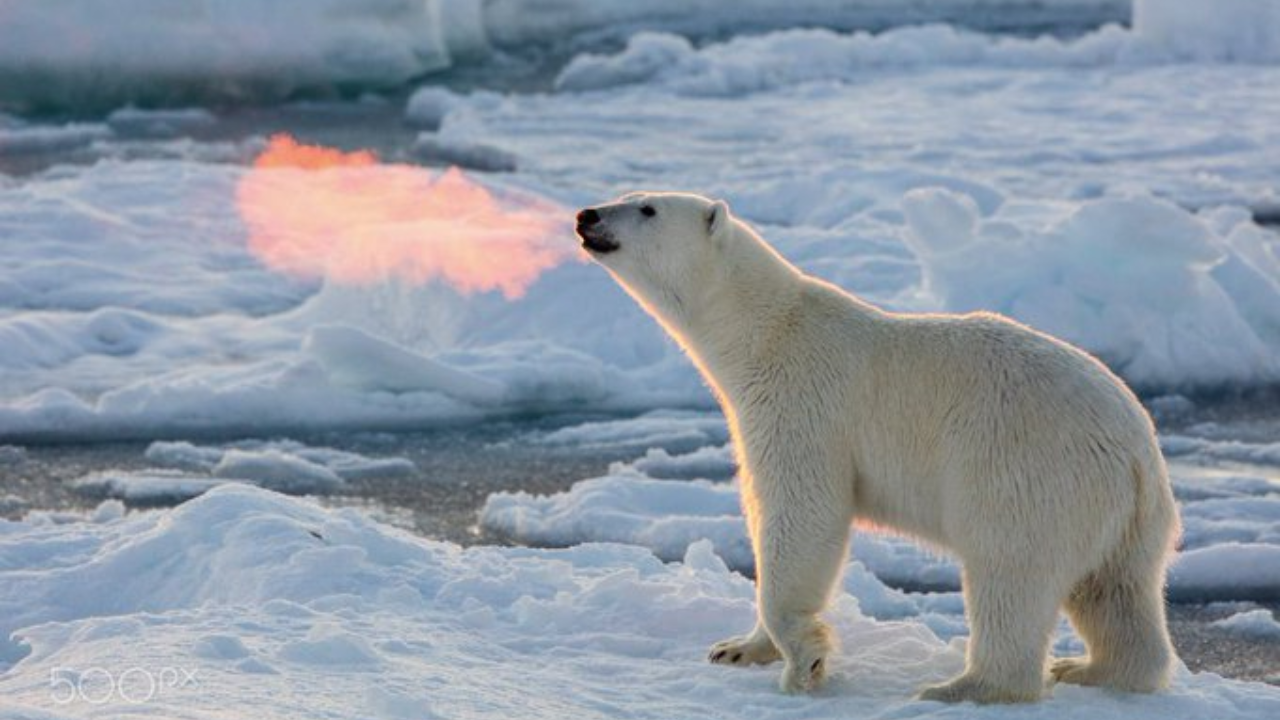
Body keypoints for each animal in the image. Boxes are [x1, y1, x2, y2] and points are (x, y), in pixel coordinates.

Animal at [576, 190, 1172, 702]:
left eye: (647, 209)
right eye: (627, 194)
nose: (586, 216)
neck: (764, 332)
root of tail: (1135, 452)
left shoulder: (801, 403)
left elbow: (802, 512)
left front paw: (804, 662)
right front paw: (737, 648)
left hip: (1028, 472)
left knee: (1010, 574)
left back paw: (963, 686)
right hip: (1125, 518)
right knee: (1115, 591)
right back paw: (1093, 668)